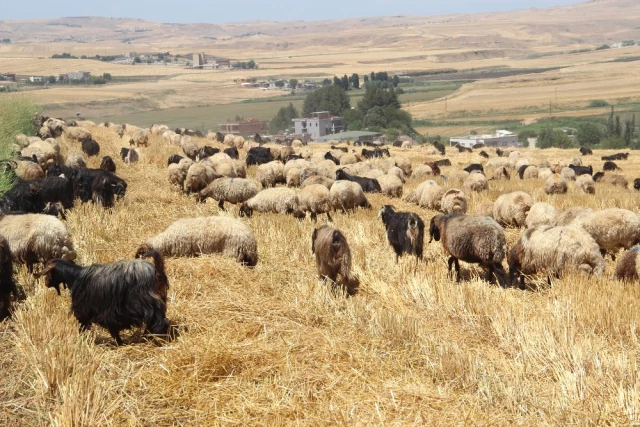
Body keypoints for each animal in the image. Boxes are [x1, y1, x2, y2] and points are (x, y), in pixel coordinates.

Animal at [35, 251, 170, 348]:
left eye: (48, 273)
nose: (46, 283)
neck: (75, 276)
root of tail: (157, 272)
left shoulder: (87, 311)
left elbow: (85, 327)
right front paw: (119, 342)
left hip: (146, 303)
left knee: (159, 322)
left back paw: (153, 337)